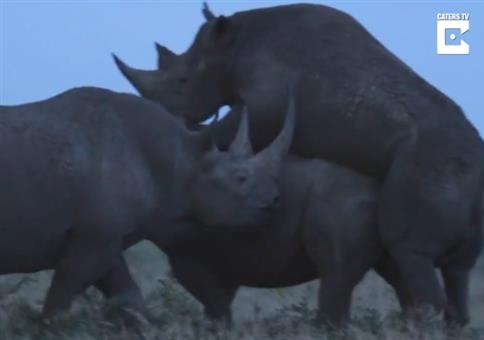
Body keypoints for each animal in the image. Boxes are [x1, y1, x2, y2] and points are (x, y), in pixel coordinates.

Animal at [0, 86, 294, 318]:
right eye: (240, 178)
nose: (275, 200)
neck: (183, 161)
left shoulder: (106, 236)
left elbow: (129, 298)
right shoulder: (93, 236)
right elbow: (60, 300)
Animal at [112, 3, 484, 326]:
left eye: (183, 82)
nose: (166, 112)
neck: (233, 47)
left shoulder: (266, 105)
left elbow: (229, 127)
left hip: (430, 166)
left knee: (409, 250)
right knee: (458, 270)